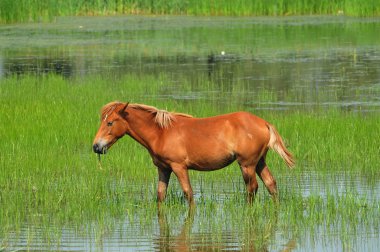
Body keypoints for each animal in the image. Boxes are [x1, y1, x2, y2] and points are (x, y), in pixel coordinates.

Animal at [92, 101, 294, 206]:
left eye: (110, 122)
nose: (96, 146)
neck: (161, 132)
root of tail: (264, 123)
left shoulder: (179, 167)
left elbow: (188, 193)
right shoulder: (163, 169)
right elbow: (160, 195)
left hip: (247, 165)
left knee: (252, 188)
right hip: (259, 162)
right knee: (271, 184)